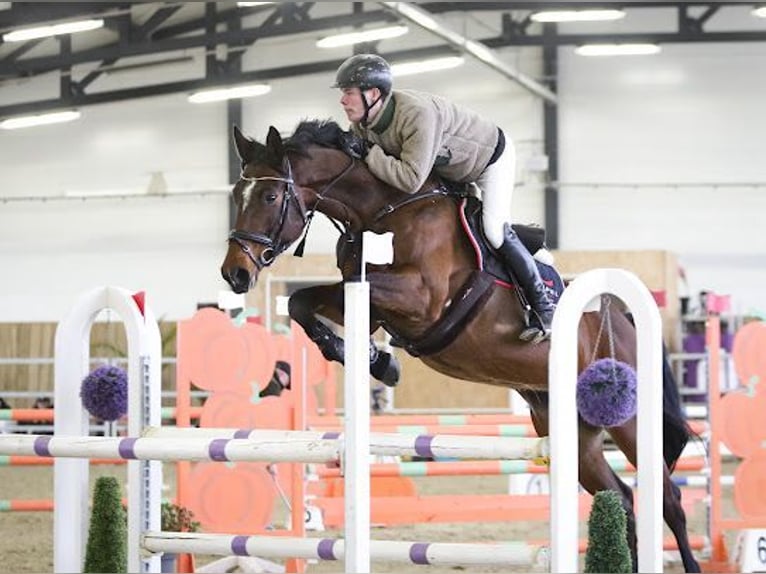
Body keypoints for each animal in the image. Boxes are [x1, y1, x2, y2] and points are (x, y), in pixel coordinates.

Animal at [220, 119, 701, 573]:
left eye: (268, 198)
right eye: (237, 196)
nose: (234, 274)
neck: (385, 210)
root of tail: (624, 320)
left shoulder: (421, 298)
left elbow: (342, 288)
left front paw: (378, 360)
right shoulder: (366, 299)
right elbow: (303, 302)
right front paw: (377, 361)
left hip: (630, 420)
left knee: (668, 500)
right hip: (570, 429)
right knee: (621, 499)